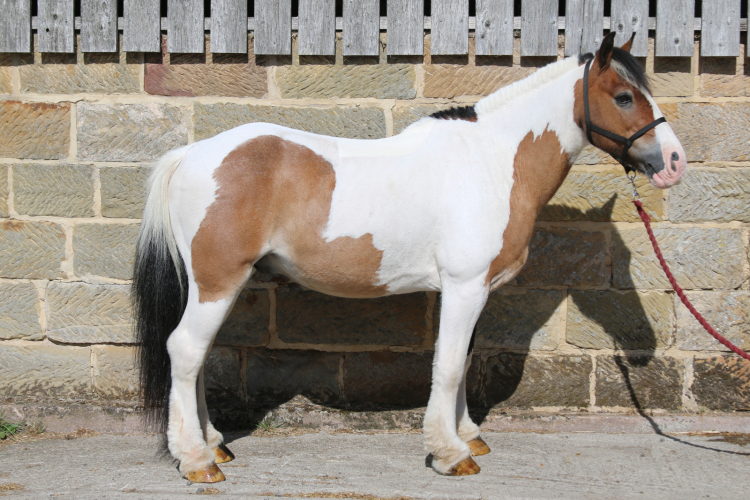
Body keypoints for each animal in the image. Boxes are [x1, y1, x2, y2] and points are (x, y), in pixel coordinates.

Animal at [132, 32, 686, 483]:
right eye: (624, 96)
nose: (674, 163)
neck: (491, 161)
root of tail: (191, 154)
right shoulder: (464, 287)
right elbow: (448, 365)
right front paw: (450, 454)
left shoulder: (475, 292)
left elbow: (464, 360)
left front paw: (469, 436)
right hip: (219, 281)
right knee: (186, 350)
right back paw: (197, 461)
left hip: (217, 284)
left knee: (197, 357)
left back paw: (212, 445)